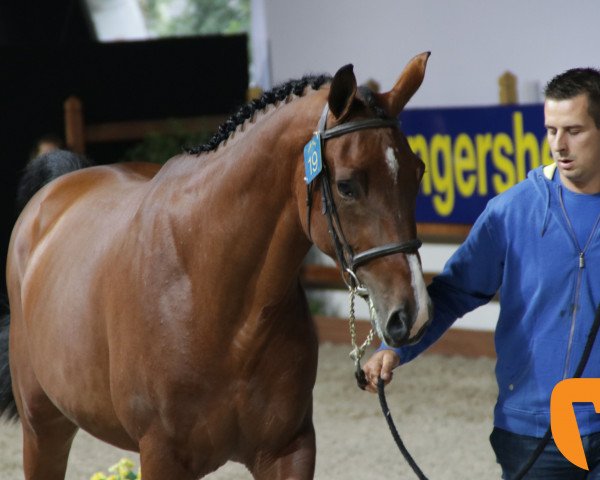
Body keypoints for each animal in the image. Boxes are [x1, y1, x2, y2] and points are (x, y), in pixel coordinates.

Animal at [0, 50, 432, 478]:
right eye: (346, 186)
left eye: (418, 172)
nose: (413, 314)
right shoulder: (160, 456)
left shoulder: (289, 450)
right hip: (43, 429)